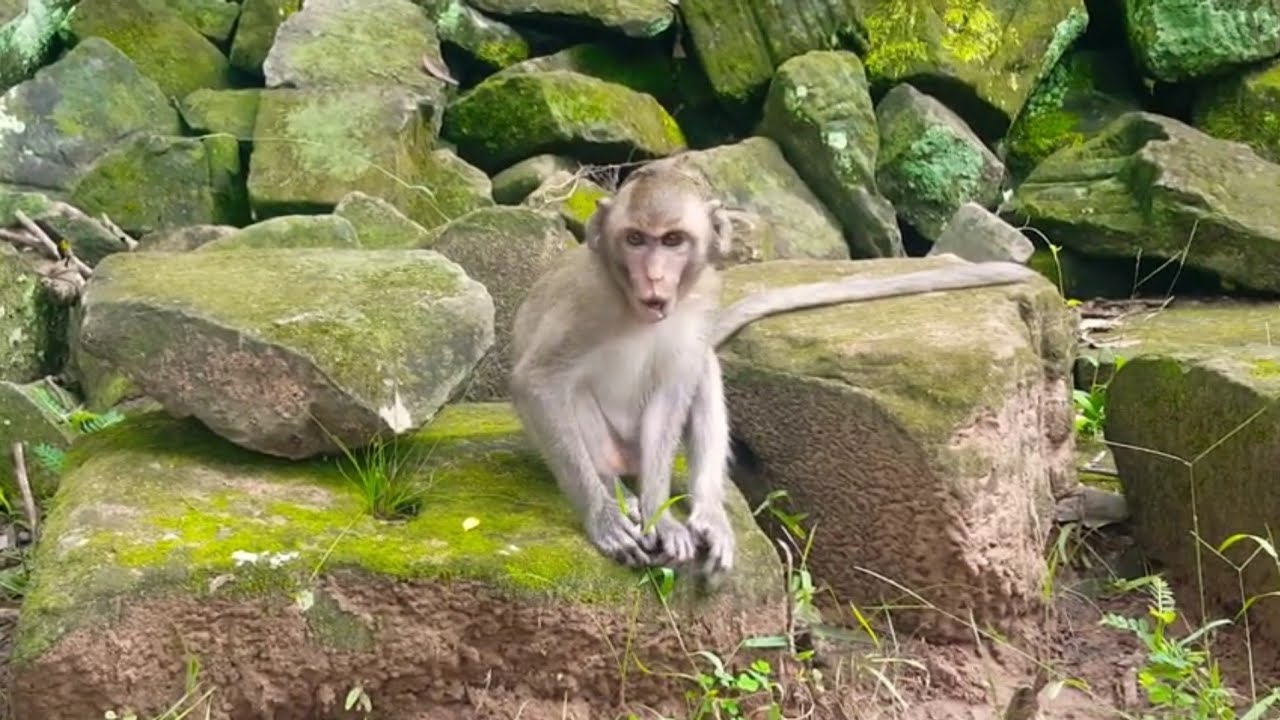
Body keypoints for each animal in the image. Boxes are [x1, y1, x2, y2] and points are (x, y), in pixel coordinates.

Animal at [508, 163, 1041, 577]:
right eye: (636, 239)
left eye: (673, 240)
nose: (655, 278)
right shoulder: (586, 301)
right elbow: (537, 383)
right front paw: (603, 516)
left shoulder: (702, 298)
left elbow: (672, 391)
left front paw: (664, 517)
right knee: (576, 400)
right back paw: (620, 494)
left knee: (702, 370)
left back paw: (705, 510)